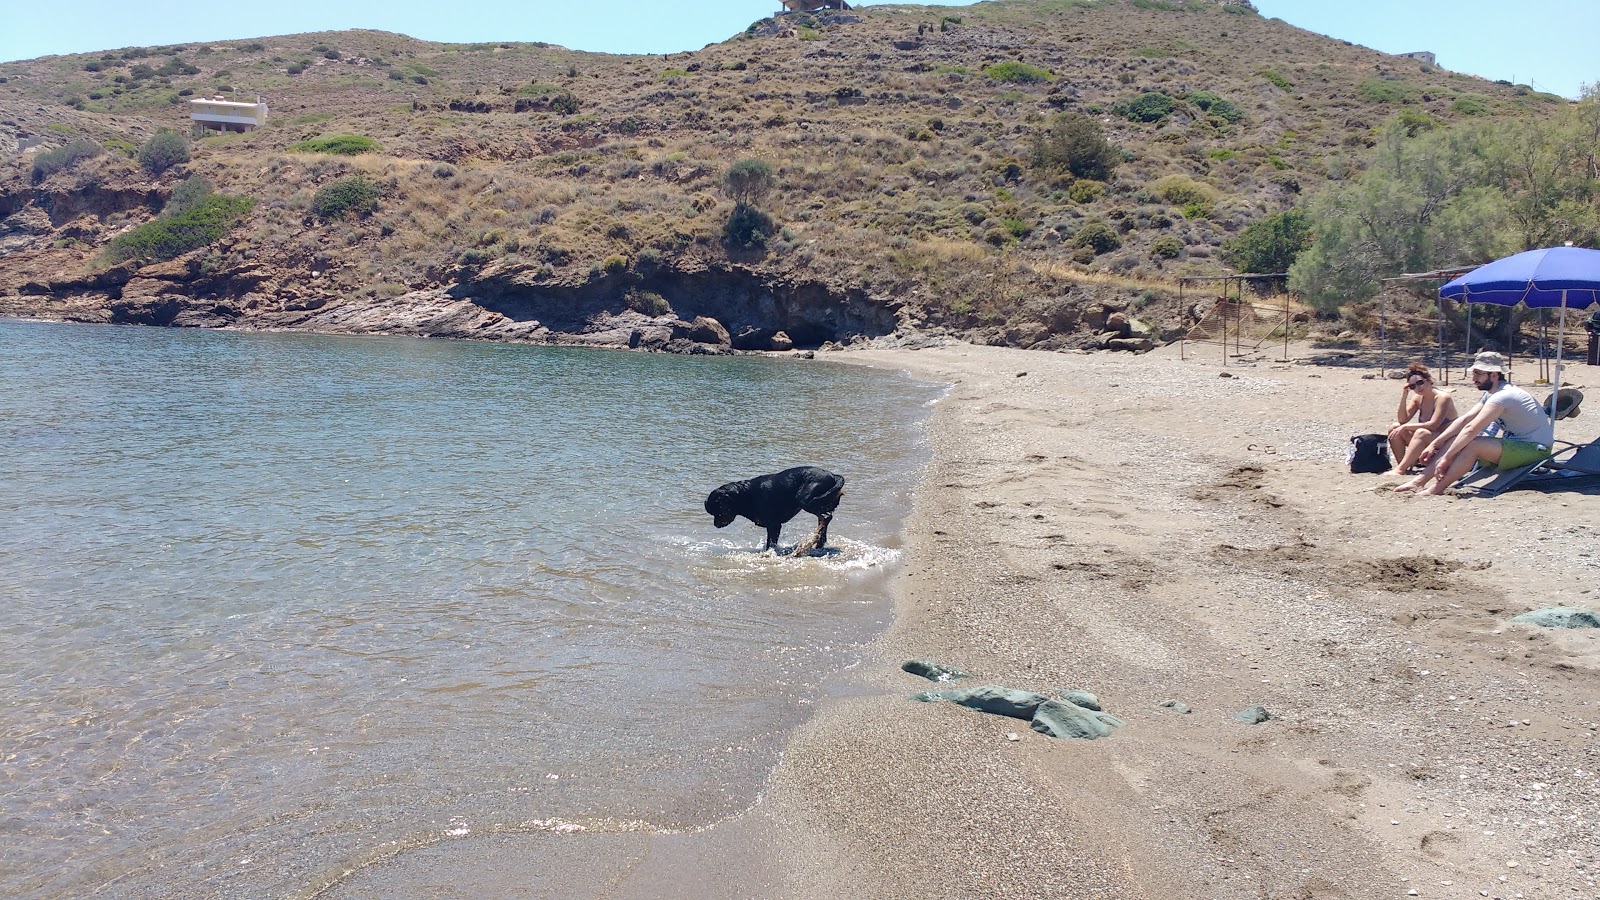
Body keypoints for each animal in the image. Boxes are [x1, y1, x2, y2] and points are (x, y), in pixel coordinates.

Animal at [707, 461, 844, 554]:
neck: (746, 495)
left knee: (825, 517)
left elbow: (771, 544)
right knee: (823, 521)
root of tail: (833, 476)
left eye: (719, 512)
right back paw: (818, 543)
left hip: (805, 500)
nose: (715, 525)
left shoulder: (774, 524)